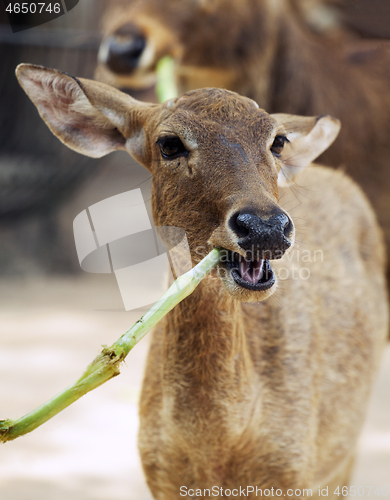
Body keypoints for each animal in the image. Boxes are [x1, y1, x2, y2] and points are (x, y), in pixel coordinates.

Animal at [16, 64, 386, 498]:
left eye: (278, 141)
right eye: (169, 144)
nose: (265, 226)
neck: (219, 446)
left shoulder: (296, 472)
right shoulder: (161, 478)